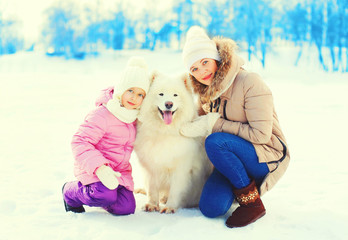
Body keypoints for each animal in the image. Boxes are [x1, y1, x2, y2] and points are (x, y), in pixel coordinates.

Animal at [135, 71, 212, 214]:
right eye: (161, 94)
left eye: (175, 95)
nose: (169, 104)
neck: (165, 132)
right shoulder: (150, 166)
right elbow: (152, 189)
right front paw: (151, 205)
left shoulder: (181, 168)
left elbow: (175, 190)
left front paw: (169, 207)